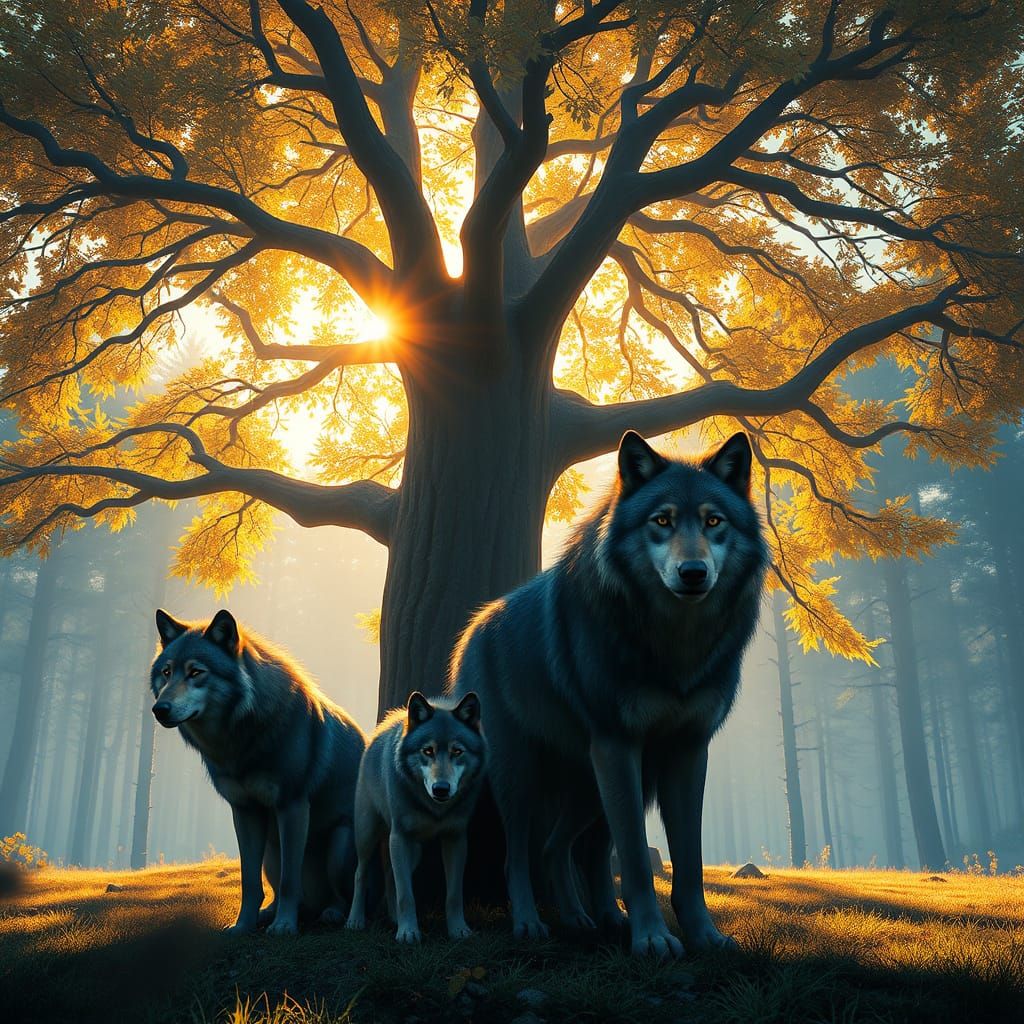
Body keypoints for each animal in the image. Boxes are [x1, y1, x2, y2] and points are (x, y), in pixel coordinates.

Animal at [150, 609, 365, 935]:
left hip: (339, 848)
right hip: (270, 850)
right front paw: (243, 926)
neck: (239, 739)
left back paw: (329, 913)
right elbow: (249, 882)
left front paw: (285, 926)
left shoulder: (292, 806)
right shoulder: (244, 811)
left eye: (196, 672)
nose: (159, 709)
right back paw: (270, 914)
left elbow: (290, 881)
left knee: (343, 895)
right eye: (166, 672)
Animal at [346, 691, 487, 943]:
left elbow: (453, 895)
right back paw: (355, 920)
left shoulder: (456, 839)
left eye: (457, 751)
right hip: (368, 835)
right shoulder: (399, 838)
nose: (441, 789)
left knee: (391, 878)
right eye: (427, 751)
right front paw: (408, 932)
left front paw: (458, 930)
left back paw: (393, 918)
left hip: (413, 852)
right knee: (360, 873)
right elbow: (406, 895)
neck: (434, 809)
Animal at [448, 430, 767, 957]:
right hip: (525, 776)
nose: (693, 572)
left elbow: (690, 863)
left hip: (592, 785)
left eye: (713, 521)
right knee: (520, 855)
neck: (675, 645)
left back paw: (594, 919)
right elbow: (636, 859)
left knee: (565, 848)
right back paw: (531, 923)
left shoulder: (687, 750)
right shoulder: (618, 745)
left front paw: (703, 935)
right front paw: (653, 938)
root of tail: (474, 628)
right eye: (662, 521)